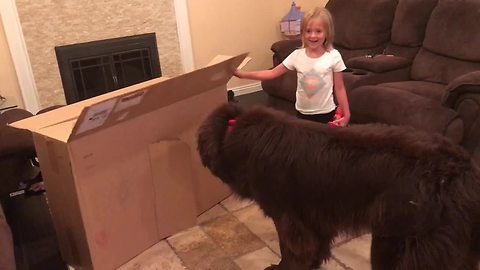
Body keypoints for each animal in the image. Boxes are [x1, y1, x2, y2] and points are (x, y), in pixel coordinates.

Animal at [196, 103, 480, 270]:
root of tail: (462, 168)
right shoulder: (313, 219)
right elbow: (315, 248)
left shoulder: (287, 217)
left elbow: (289, 250)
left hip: (395, 243)